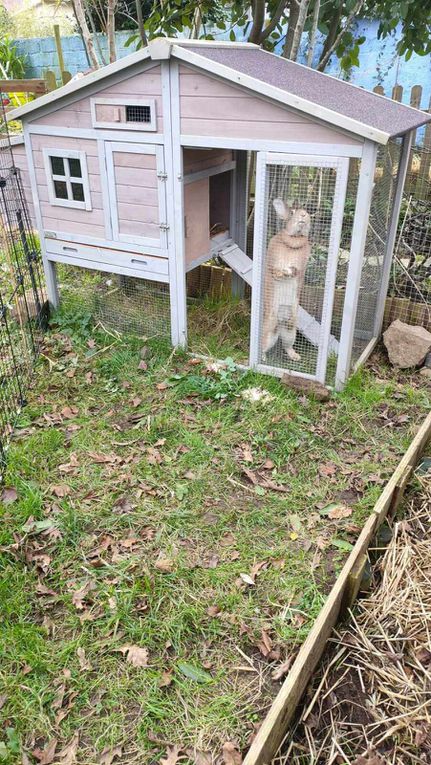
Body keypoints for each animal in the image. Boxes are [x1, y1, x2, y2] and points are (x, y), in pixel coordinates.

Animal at [262, 198, 312, 362]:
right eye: (292, 212)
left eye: (306, 211)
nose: (303, 215)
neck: (294, 239)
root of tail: (280, 323)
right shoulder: (272, 260)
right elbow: (274, 270)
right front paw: (279, 274)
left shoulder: (301, 266)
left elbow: (295, 271)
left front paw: (287, 272)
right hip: (269, 331)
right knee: (264, 346)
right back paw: (263, 358)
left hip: (291, 331)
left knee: (287, 345)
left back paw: (296, 356)